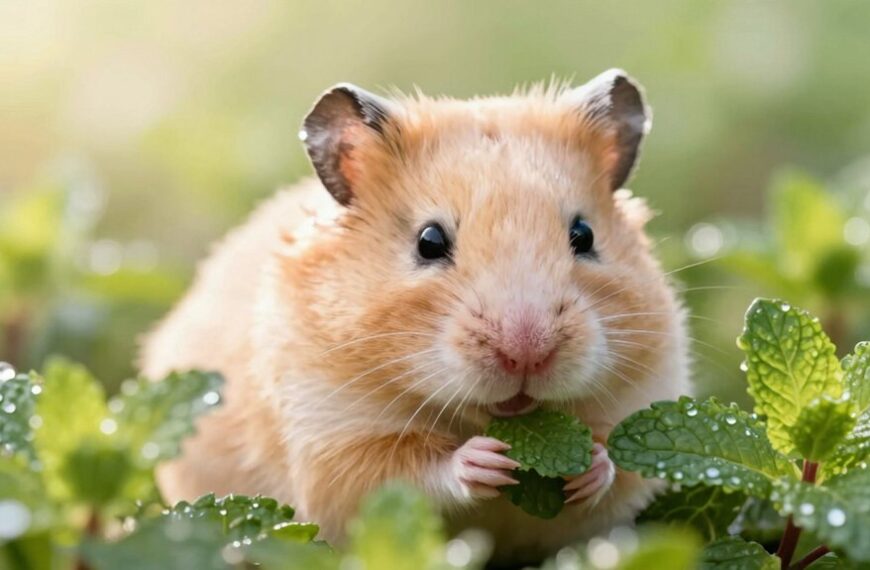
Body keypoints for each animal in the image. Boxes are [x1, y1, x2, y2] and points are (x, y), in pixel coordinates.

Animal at [140, 68, 690, 565]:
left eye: (584, 235)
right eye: (429, 241)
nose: (526, 353)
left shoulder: (642, 403)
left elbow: (617, 468)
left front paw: (590, 465)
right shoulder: (331, 442)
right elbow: (405, 474)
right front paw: (484, 462)